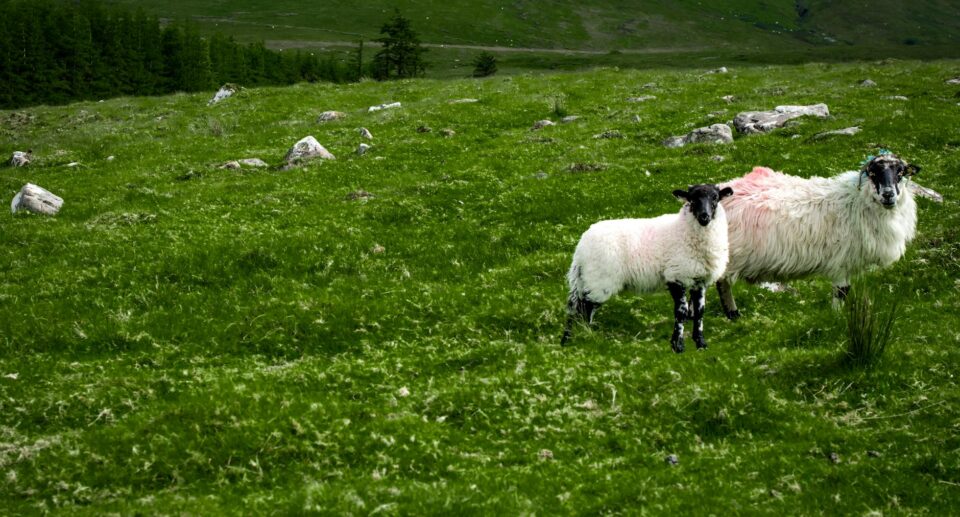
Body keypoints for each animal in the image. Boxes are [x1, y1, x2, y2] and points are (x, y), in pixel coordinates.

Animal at [562, 184, 734, 352]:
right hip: (598, 280)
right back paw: (585, 337)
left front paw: (701, 344)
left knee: (576, 308)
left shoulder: (699, 280)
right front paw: (677, 345)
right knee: (584, 309)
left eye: (715, 197)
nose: (704, 216)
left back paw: (570, 339)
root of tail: (581, 247)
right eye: (692, 199)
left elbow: (699, 312)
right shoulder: (676, 276)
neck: (683, 229)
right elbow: (681, 313)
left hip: (586, 280)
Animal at [715, 153, 920, 319]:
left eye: (900, 173)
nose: (888, 194)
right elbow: (841, 291)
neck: (855, 201)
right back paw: (732, 314)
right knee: (721, 284)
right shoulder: (841, 259)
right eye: (873, 174)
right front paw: (837, 317)